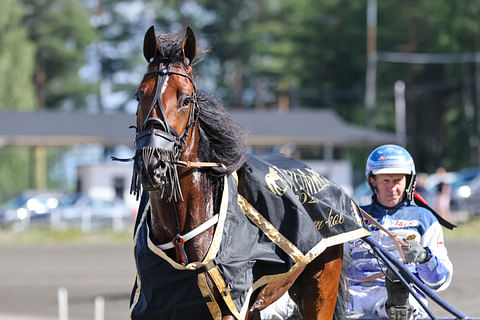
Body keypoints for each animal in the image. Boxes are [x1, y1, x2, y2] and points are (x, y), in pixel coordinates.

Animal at [130, 25, 348, 320]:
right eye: (139, 95)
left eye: (185, 99)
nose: (152, 165)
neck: (180, 236)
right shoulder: (161, 303)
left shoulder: (231, 305)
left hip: (321, 283)